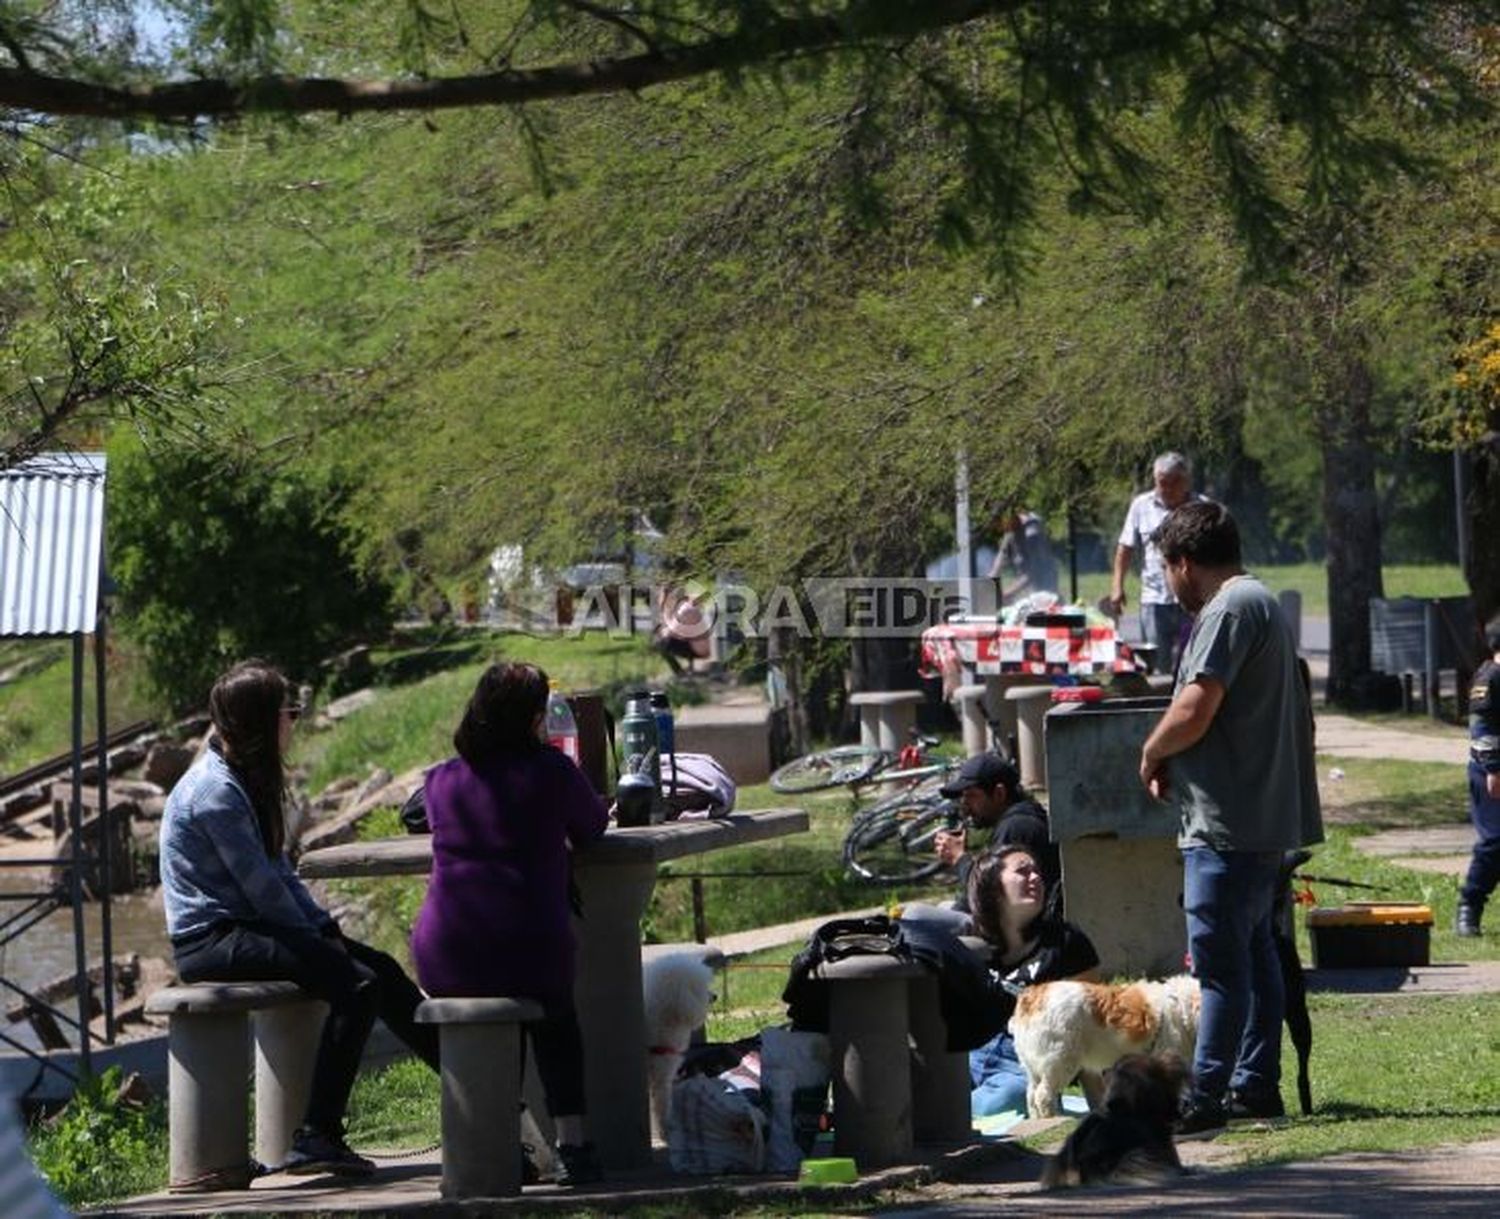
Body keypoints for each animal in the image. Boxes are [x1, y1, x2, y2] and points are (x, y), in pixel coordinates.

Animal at [1008, 977, 1206, 1115]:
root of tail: (1030, 997)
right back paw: (1052, 1115)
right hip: (1059, 1063)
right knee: (1044, 1094)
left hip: (1033, 1068)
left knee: (1031, 1094)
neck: (1181, 1007)